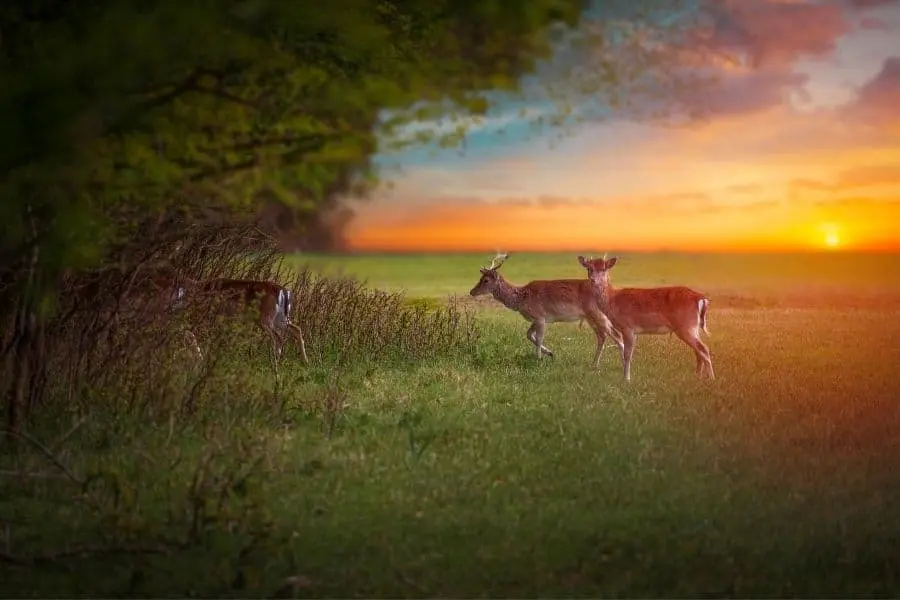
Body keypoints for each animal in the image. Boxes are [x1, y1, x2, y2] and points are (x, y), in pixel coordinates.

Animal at [469, 253, 624, 364]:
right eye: (480, 278)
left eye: (486, 280)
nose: (472, 291)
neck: (522, 298)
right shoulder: (536, 319)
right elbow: (528, 335)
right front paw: (549, 353)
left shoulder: (540, 317)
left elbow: (538, 339)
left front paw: (539, 359)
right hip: (591, 317)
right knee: (603, 336)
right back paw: (595, 364)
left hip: (597, 314)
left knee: (615, 335)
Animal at [577, 255, 714, 382]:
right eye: (589, 268)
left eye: (604, 268)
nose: (593, 280)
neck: (613, 301)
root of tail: (700, 298)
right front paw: (626, 376)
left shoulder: (628, 327)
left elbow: (628, 354)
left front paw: (626, 379)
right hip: (693, 327)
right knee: (699, 350)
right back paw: (698, 376)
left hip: (685, 326)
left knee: (704, 349)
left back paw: (711, 379)